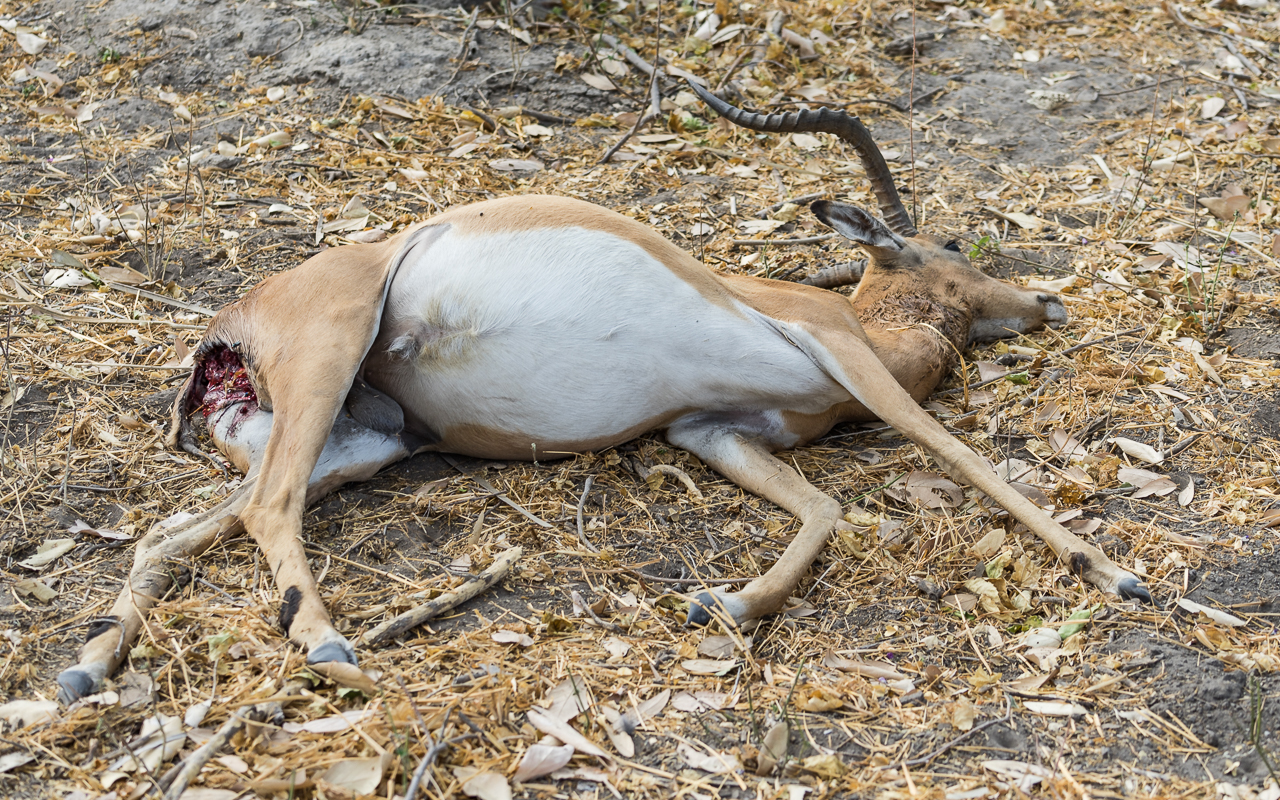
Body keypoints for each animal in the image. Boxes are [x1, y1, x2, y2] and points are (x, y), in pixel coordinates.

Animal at [56, 83, 1149, 703]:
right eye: (951, 245)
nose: (1044, 301)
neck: (870, 323)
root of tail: (230, 325)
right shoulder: (846, 358)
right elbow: (955, 452)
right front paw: (1113, 572)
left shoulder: (716, 430)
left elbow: (823, 509)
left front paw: (723, 601)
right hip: (331, 368)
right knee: (266, 513)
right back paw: (328, 647)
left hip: (361, 441)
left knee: (173, 533)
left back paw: (84, 670)